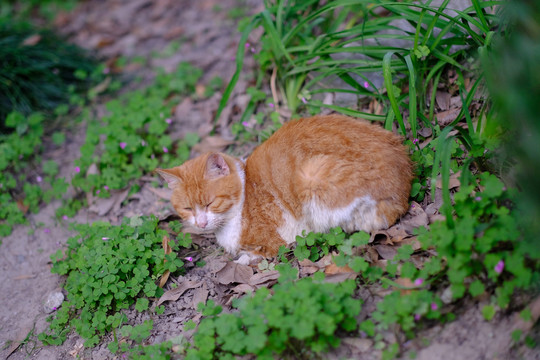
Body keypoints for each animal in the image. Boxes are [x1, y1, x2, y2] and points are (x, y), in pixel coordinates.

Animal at [156, 114, 414, 266]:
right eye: (188, 208)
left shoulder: (275, 238)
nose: (200, 224)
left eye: (210, 203)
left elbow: (260, 252)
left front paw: (244, 257)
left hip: (312, 176)